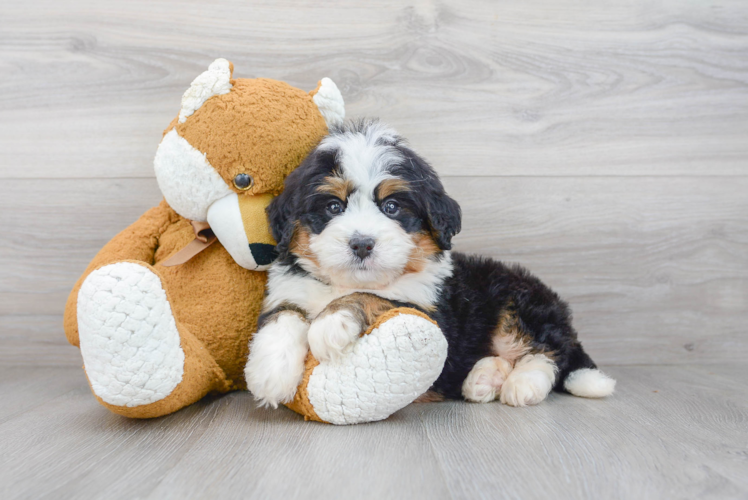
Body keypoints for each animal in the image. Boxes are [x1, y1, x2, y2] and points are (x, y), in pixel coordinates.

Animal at [244, 119, 612, 408]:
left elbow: (374, 297)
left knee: (546, 351)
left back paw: (523, 384)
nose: (362, 243)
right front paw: (270, 373)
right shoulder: (290, 288)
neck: (345, 282)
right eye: (333, 207)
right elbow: (284, 315)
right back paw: (483, 379)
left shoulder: (430, 311)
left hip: (517, 302)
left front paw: (330, 324)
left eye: (392, 207)